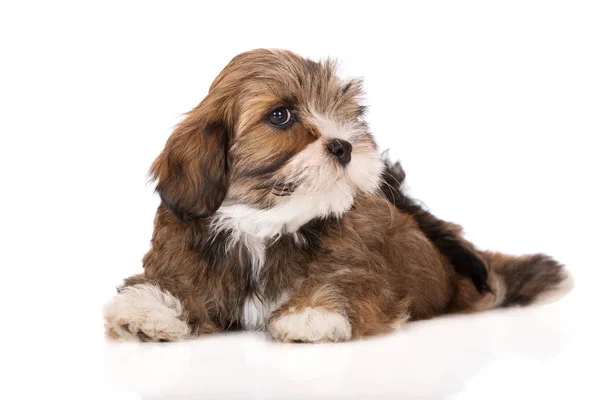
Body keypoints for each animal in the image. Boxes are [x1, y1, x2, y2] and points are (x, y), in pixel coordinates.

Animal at [103, 50, 572, 342]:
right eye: (281, 115)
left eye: (349, 113)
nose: (344, 145)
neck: (262, 224)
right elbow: (176, 285)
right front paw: (148, 309)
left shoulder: (361, 268)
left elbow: (346, 284)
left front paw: (313, 312)